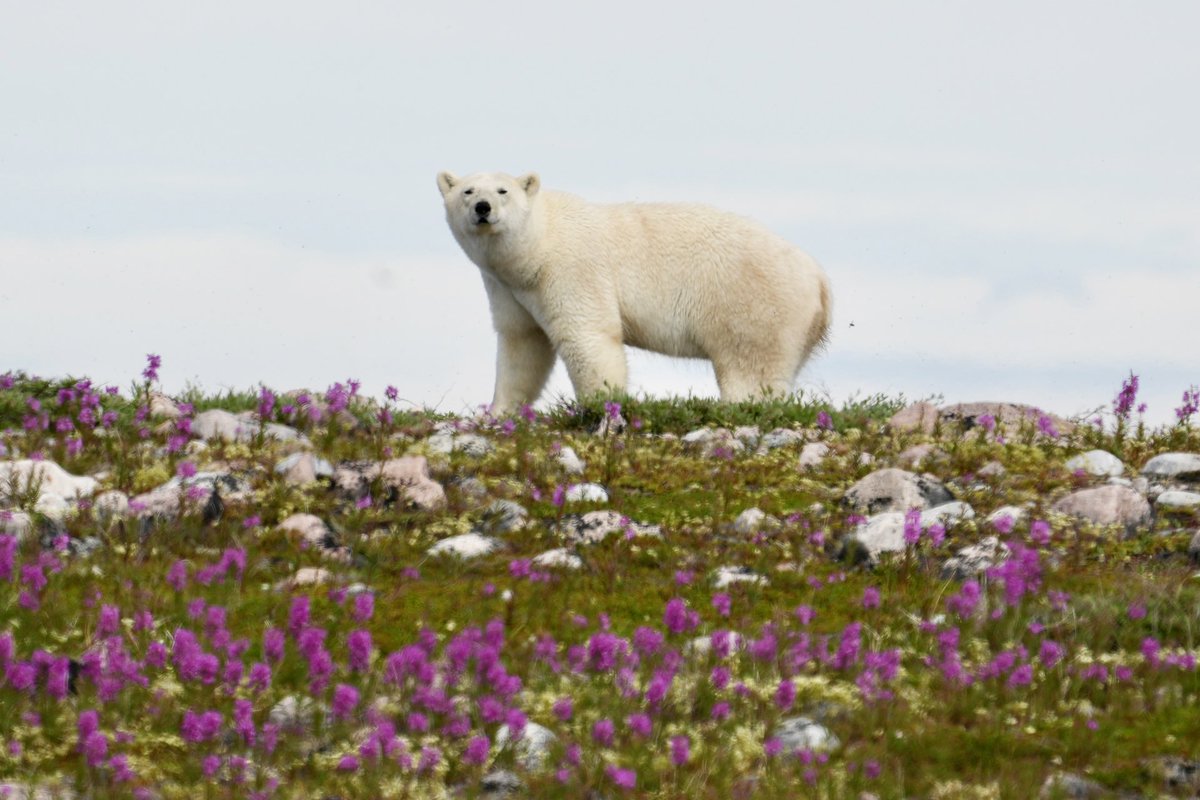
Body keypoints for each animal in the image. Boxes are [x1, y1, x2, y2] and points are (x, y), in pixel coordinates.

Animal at [437, 171, 832, 414]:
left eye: (502, 191)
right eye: (468, 191)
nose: (482, 208)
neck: (539, 244)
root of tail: (820, 281)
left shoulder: (572, 270)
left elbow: (588, 335)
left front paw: (600, 403)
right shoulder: (509, 287)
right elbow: (522, 344)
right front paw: (498, 410)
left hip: (752, 303)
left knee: (750, 367)